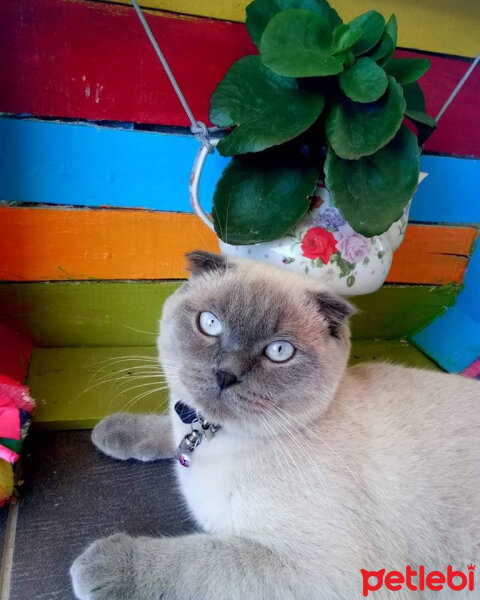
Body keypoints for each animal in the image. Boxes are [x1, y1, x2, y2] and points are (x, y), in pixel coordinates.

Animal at [71, 252, 480, 600]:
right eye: (210, 324)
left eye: (279, 352)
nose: (225, 375)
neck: (215, 438)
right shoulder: (187, 424)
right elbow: (167, 428)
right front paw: (112, 431)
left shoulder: (317, 571)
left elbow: (196, 564)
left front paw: (100, 566)